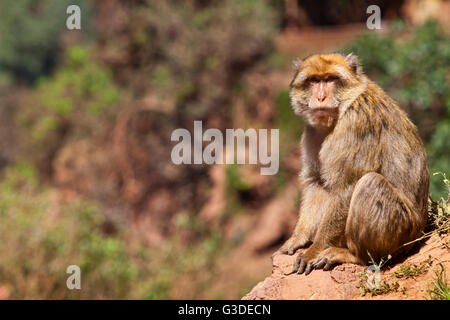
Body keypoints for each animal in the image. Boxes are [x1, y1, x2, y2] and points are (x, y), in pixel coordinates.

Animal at [272, 52, 430, 276]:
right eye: (314, 81)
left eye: (330, 79)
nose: (321, 97)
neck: (344, 107)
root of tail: (420, 232)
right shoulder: (312, 130)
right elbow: (318, 183)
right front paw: (297, 239)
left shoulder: (356, 123)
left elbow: (346, 186)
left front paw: (315, 249)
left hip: (402, 233)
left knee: (370, 183)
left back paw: (356, 256)